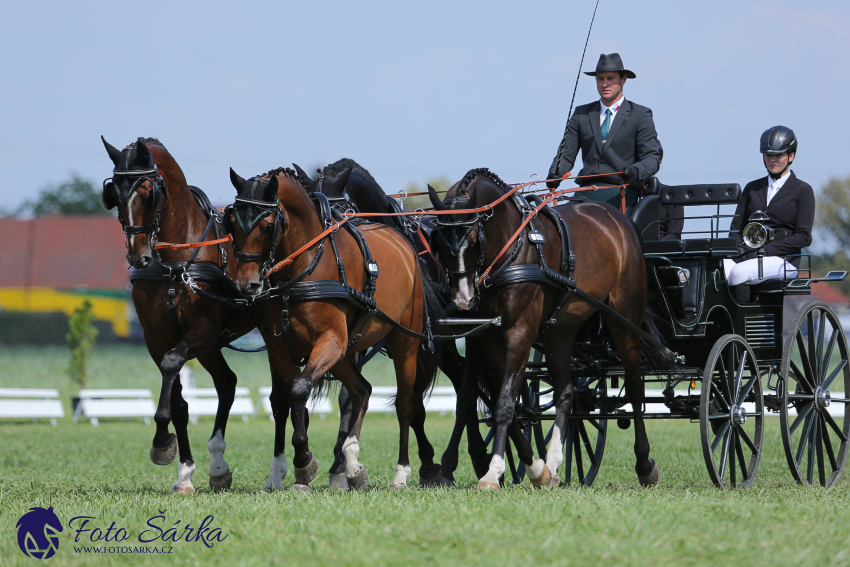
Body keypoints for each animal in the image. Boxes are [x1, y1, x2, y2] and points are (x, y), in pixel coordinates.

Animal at [100, 136, 260, 492]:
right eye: (114, 194)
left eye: (148, 191)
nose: (139, 256)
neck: (178, 263)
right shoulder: (156, 337)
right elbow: (179, 405)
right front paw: (184, 471)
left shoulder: (201, 331)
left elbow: (172, 365)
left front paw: (161, 443)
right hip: (212, 348)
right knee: (227, 383)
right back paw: (218, 467)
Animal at [224, 166, 444, 490]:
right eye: (231, 224)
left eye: (266, 226)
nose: (246, 285)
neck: (307, 265)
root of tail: (405, 244)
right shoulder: (280, 346)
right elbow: (290, 396)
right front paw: (300, 466)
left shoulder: (331, 339)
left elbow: (300, 388)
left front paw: (304, 461)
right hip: (343, 353)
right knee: (362, 390)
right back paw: (352, 463)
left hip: (403, 342)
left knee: (405, 404)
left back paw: (402, 472)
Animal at [428, 168, 660, 488]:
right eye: (438, 243)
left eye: (473, 239)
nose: (463, 300)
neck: (511, 249)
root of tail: (619, 219)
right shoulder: (489, 337)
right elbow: (500, 401)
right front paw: (536, 469)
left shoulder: (521, 333)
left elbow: (504, 402)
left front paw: (493, 471)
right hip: (560, 333)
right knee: (566, 393)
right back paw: (553, 462)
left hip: (624, 320)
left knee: (636, 387)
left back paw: (645, 464)